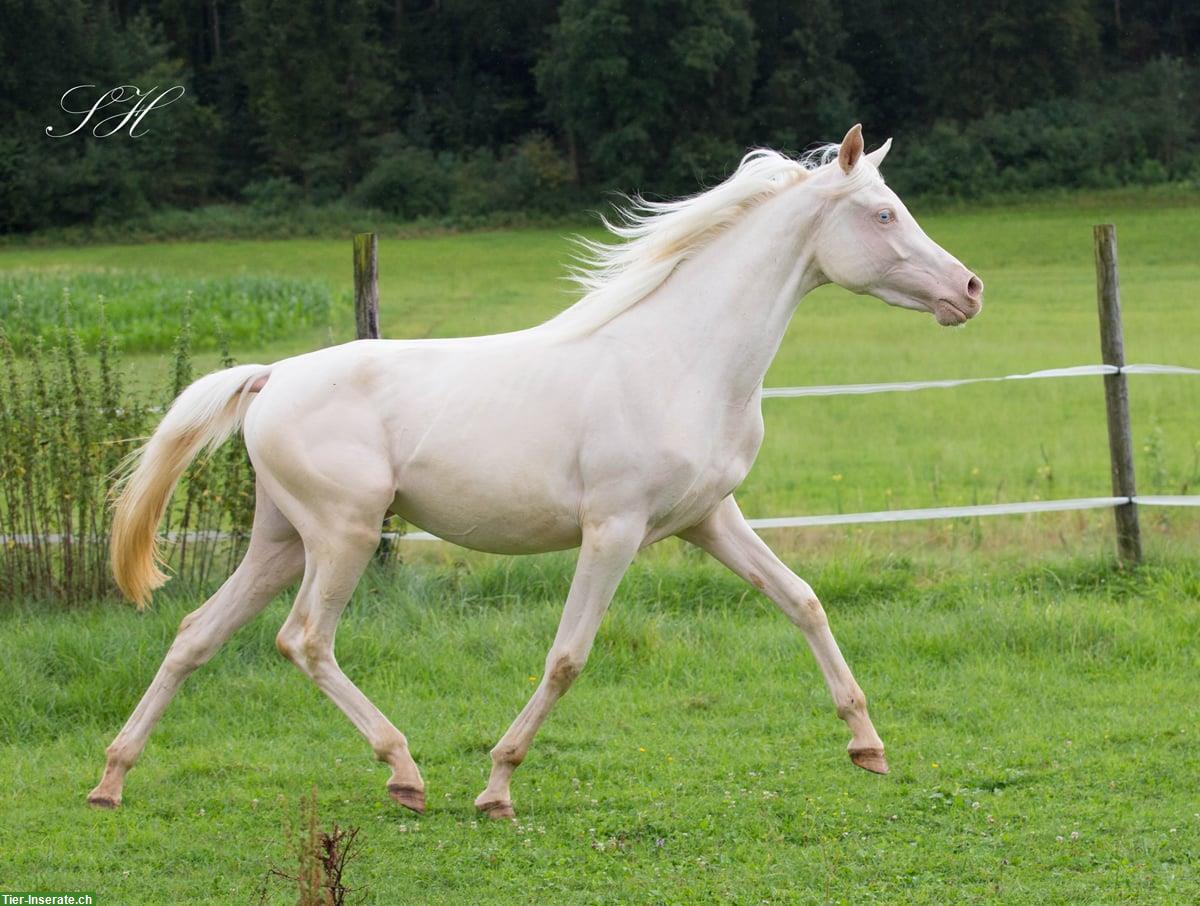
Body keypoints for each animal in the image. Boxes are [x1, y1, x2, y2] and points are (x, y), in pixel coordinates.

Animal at [91, 124, 974, 820]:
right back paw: (404, 773)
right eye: (883, 212)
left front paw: (868, 747)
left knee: (195, 634)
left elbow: (803, 601)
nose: (969, 289)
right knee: (303, 639)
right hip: (342, 536)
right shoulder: (613, 530)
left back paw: (111, 780)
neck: (681, 358)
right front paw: (497, 787)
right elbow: (567, 657)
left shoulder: (708, 518)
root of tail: (271, 377)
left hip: (281, 540)